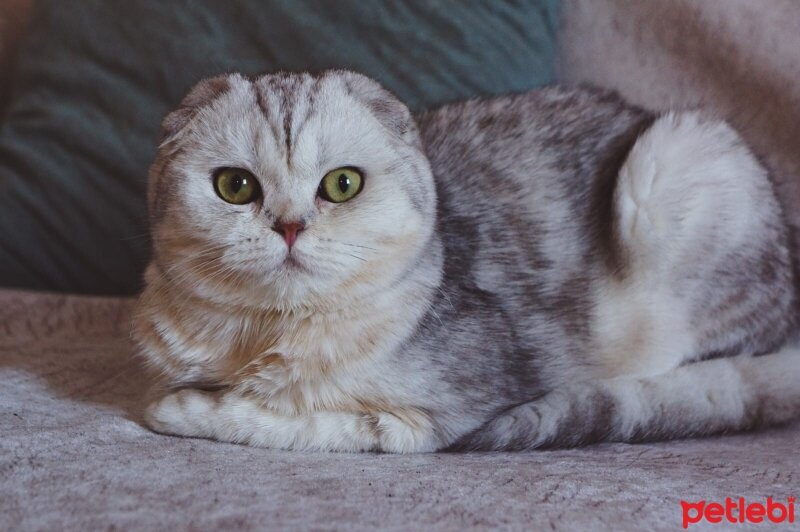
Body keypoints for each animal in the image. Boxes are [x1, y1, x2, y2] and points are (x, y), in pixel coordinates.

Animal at [133, 69, 800, 454]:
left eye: (342, 185)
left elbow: (295, 420)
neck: (262, 337)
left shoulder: (430, 420)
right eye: (236, 187)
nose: (291, 227)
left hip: (676, 156)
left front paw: (185, 409)